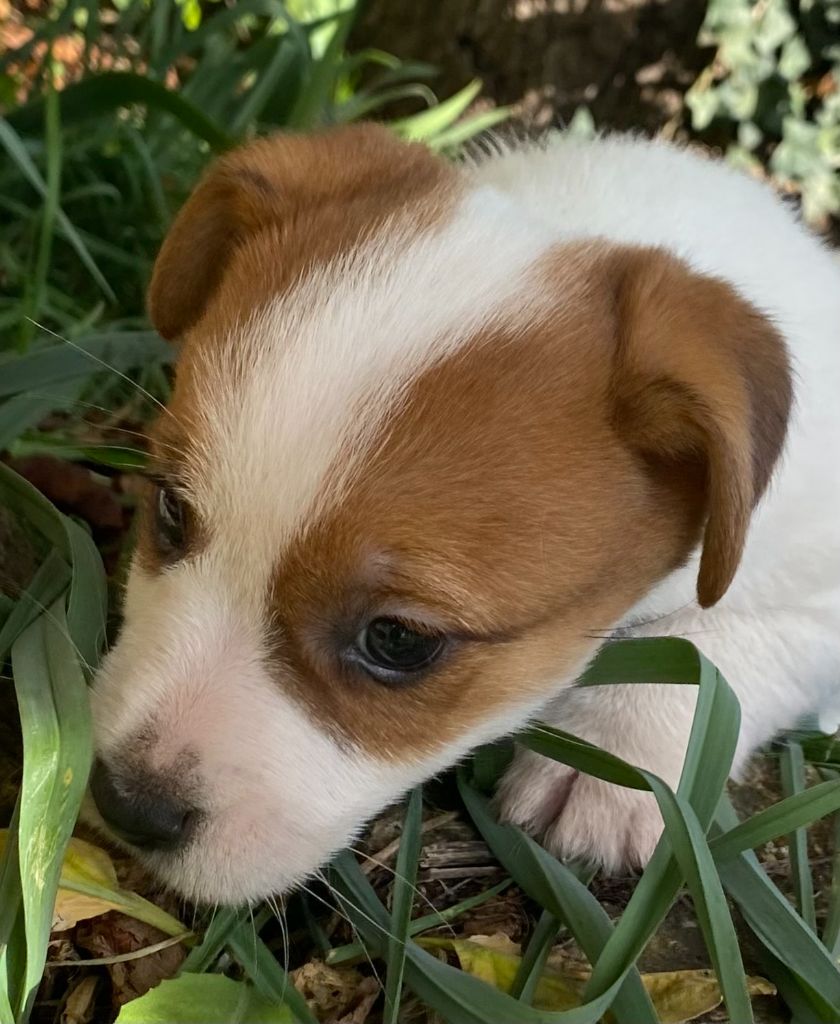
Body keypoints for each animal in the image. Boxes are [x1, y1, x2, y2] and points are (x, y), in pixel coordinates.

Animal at [87, 123, 840, 901]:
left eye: (397, 640)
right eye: (170, 508)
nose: (126, 806)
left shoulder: (816, 598)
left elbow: (720, 639)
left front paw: (604, 760)